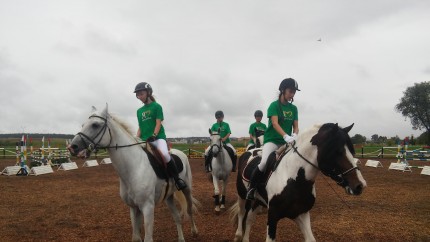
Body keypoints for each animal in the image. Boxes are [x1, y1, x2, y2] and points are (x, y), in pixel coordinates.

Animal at [68, 105, 199, 242]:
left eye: (95, 125)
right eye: (83, 125)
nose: (72, 147)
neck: (133, 168)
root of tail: (180, 153)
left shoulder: (148, 207)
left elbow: (148, 238)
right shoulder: (133, 207)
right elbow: (136, 237)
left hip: (187, 189)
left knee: (189, 209)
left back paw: (194, 231)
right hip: (168, 196)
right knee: (177, 217)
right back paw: (181, 238)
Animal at [230, 124, 368, 241]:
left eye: (352, 151)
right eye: (337, 151)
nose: (360, 185)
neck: (293, 179)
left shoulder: (301, 214)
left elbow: (310, 239)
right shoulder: (273, 216)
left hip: (258, 201)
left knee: (249, 219)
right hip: (242, 195)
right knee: (242, 213)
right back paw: (238, 235)